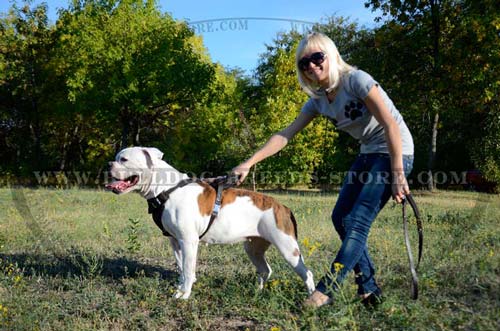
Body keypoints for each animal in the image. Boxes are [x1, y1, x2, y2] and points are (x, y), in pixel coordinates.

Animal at [106, 147, 316, 300]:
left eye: (124, 159)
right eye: (116, 157)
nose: (108, 164)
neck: (166, 189)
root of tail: (283, 206)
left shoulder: (189, 241)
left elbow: (188, 269)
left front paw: (185, 295)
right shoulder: (175, 242)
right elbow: (181, 268)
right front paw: (180, 289)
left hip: (288, 249)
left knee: (307, 273)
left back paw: (311, 299)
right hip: (253, 248)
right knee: (265, 270)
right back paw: (257, 291)